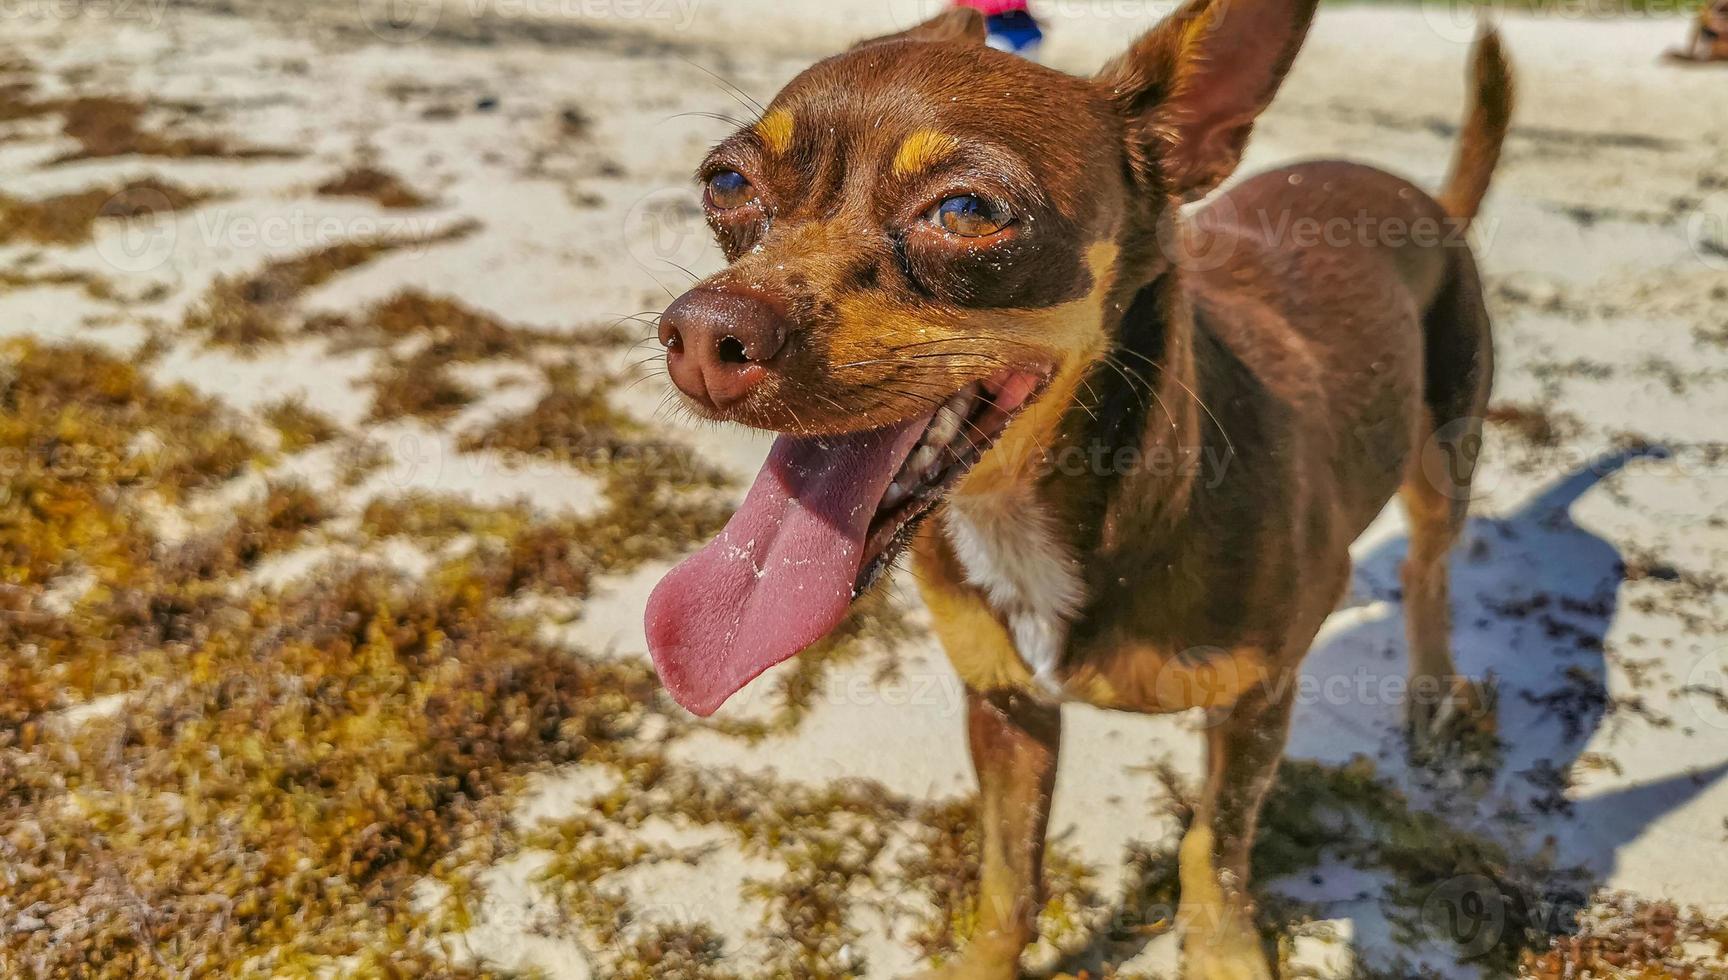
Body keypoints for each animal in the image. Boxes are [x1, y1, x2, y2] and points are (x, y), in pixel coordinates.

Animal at [646, 3, 1513, 974]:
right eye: (726, 183)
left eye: (966, 210)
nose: (703, 335)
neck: (1044, 519)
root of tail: (1430, 203)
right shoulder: (1008, 706)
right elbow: (1009, 878)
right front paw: (986, 961)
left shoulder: (1255, 705)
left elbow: (1214, 849)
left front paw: (1224, 953)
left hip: (1444, 458)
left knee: (1425, 572)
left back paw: (1433, 692)